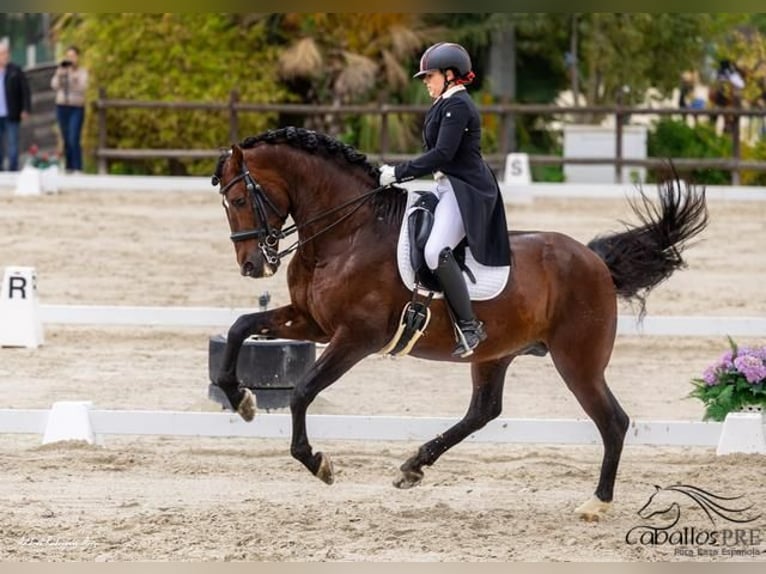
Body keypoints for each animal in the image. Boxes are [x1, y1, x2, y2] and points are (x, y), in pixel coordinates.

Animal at [210, 126, 708, 520]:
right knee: (484, 411)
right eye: (227, 203)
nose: (253, 265)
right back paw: (413, 466)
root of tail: (594, 260)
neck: (347, 232)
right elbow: (240, 326)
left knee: (613, 421)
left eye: (239, 199)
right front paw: (241, 399)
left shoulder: (355, 338)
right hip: (495, 353)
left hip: (578, 361)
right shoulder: (311, 321)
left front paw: (318, 463)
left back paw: (597, 502)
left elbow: (302, 391)